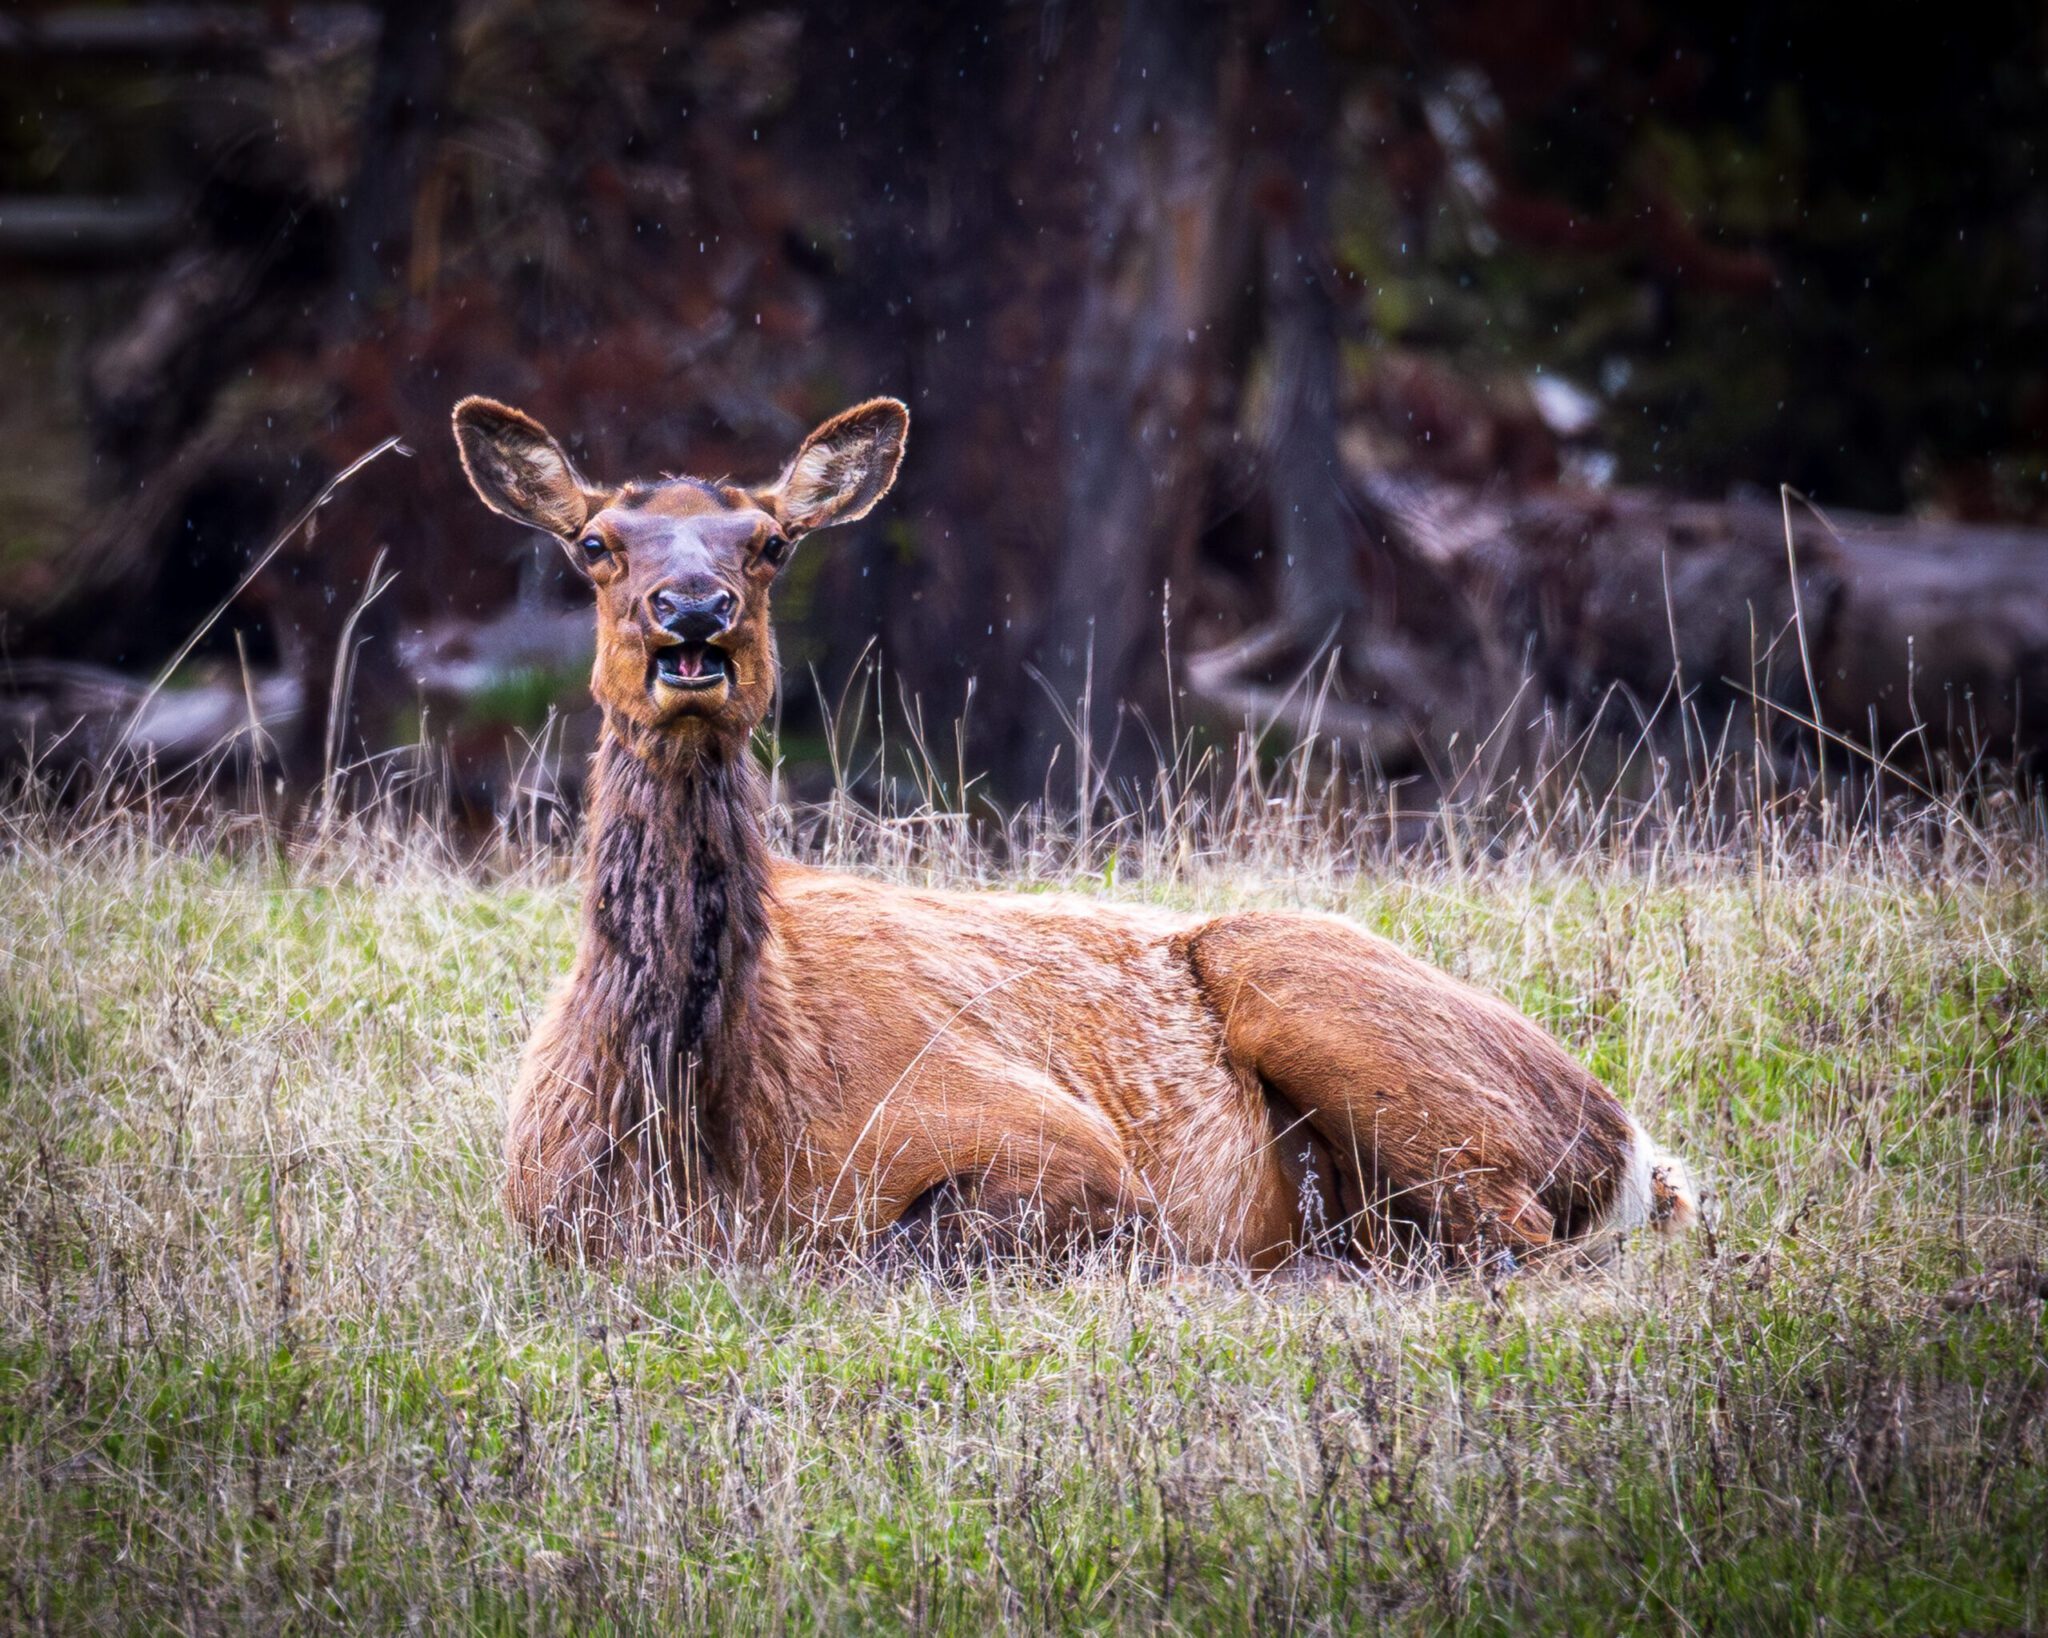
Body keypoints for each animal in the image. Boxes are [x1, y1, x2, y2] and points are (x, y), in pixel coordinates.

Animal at [452, 392, 1698, 1269]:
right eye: (594, 543)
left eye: (769, 543)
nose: (694, 614)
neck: (698, 1146)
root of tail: (1636, 1150)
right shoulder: (544, 1221)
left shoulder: (1053, 1142)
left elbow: (897, 1247)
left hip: (1331, 1007)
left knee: (1511, 1241)